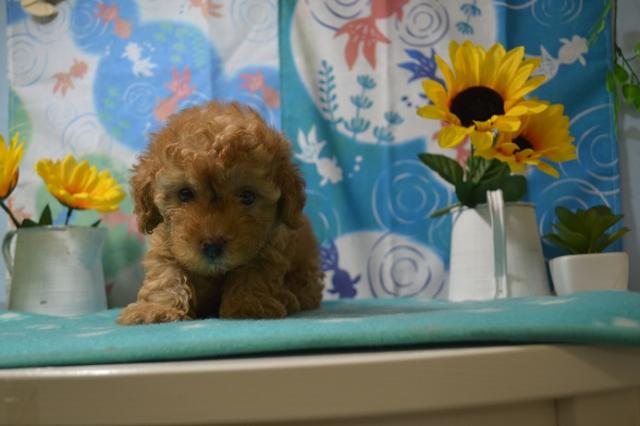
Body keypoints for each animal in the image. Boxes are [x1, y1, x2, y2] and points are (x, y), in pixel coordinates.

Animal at [118, 102, 324, 324]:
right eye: (184, 194)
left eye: (247, 196)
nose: (212, 246)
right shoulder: (166, 244)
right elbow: (165, 273)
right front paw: (156, 309)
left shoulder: (269, 245)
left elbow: (255, 273)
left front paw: (249, 305)